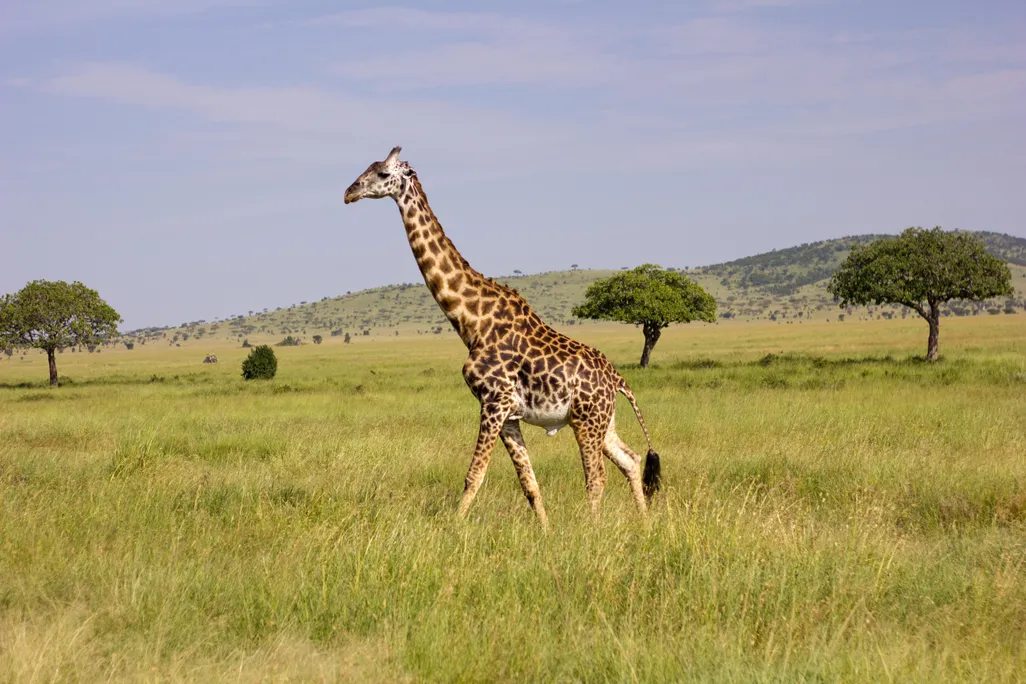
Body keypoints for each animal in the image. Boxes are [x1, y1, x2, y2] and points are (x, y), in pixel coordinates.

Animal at [344, 146, 661, 526]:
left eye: (381, 173)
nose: (348, 192)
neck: (471, 322)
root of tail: (617, 378)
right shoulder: (508, 414)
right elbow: (529, 483)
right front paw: (545, 531)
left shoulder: (493, 403)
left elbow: (474, 475)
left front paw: (453, 527)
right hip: (602, 421)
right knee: (631, 459)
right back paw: (644, 523)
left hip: (587, 420)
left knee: (596, 476)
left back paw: (593, 529)